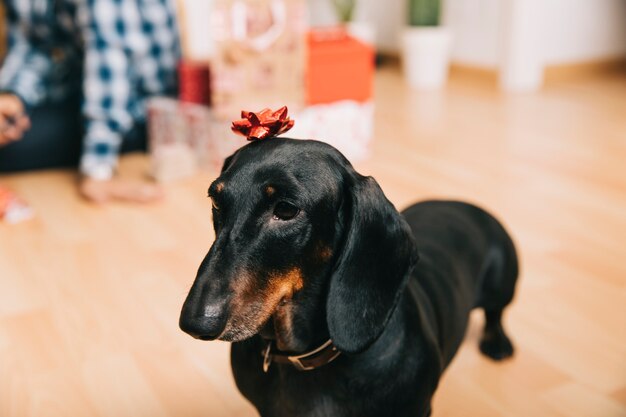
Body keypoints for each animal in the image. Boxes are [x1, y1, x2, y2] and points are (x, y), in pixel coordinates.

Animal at [178, 138, 516, 414]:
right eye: (216, 201)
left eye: (286, 209)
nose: (194, 323)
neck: (303, 358)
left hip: (504, 279)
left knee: (496, 312)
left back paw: (498, 343)